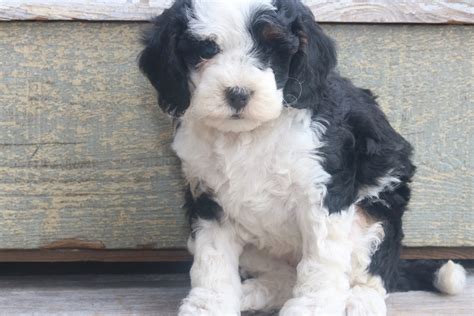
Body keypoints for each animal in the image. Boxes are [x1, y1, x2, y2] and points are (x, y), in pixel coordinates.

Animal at [140, 1, 466, 314]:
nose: (238, 93)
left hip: (374, 217)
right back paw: (253, 293)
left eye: (273, 49)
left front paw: (311, 308)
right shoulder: (208, 199)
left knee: (373, 274)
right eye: (206, 50)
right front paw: (208, 305)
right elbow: (212, 259)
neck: (252, 133)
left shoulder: (324, 192)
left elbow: (321, 259)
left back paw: (360, 303)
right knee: (285, 278)